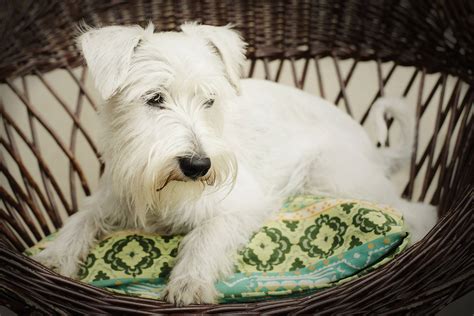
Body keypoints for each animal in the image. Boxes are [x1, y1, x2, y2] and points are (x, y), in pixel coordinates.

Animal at [34, 22, 436, 306]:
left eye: (209, 100)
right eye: (154, 98)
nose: (198, 165)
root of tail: (372, 147)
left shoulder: (239, 207)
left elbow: (205, 235)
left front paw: (189, 282)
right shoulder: (110, 200)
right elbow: (80, 220)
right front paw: (54, 259)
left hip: (334, 177)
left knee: (415, 211)